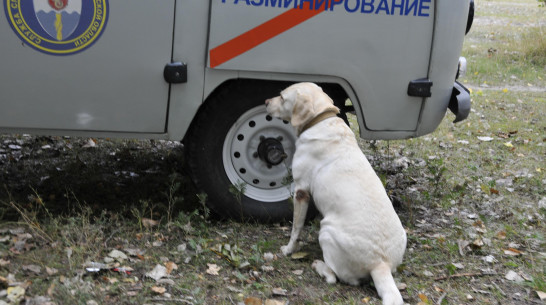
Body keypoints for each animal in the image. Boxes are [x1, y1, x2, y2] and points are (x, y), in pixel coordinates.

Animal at [264, 82, 404, 302]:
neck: (320, 120)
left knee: (335, 277)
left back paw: (319, 266)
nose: (265, 102)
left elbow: (296, 228)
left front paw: (288, 250)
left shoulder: (301, 191)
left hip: (326, 231)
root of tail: (381, 264)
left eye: (282, 97)